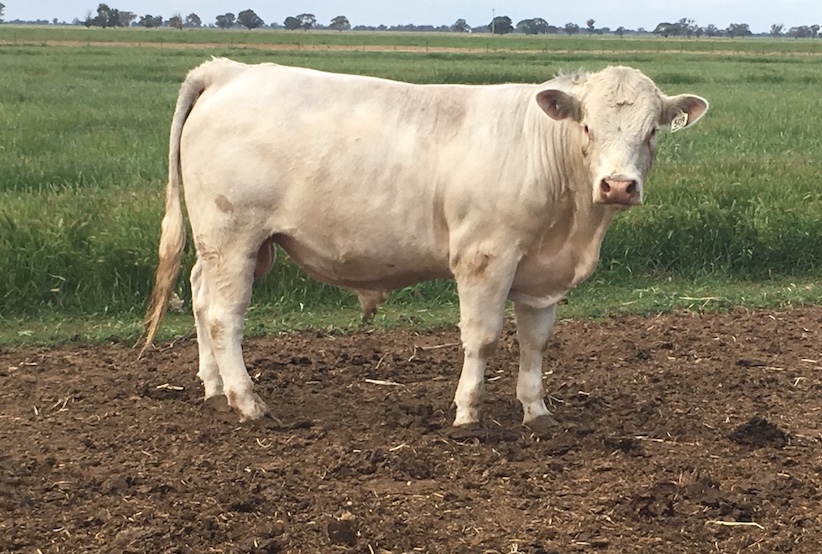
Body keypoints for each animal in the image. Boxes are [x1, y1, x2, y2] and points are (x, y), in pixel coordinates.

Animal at [141, 58, 708, 431]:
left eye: (653, 131)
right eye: (587, 126)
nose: (618, 185)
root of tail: (229, 70)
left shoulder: (541, 272)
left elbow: (535, 341)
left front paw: (537, 411)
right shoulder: (485, 257)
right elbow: (482, 339)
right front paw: (467, 413)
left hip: (227, 247)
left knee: (200, 296)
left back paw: (215, 390)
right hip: (233, 235)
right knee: (224, 316)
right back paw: (248, 402)